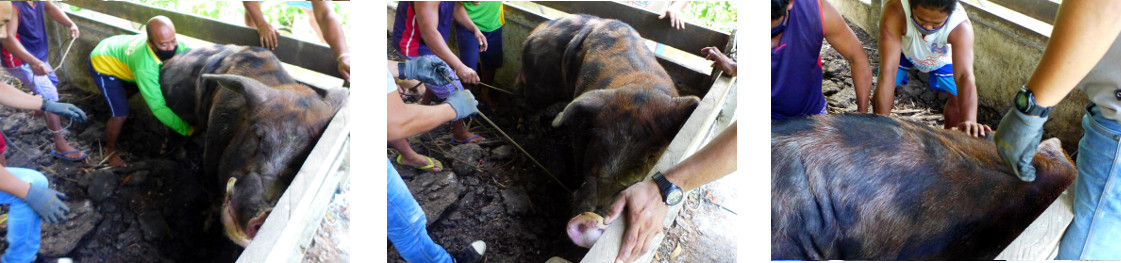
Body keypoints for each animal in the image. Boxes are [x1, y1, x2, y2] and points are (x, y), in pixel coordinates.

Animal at [159, 44, 345, 246]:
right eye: (258, 135)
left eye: (302, 161)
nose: (264, 214)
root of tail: (168, 63)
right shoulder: (211, 155)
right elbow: (211, 197)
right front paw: (205, 229)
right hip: (178, 112)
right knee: (175, 134)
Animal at [517, 14, 699, 248]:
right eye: (599, 144)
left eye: (650, 156)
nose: (591, 218)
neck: (640, 85)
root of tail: (536, 31)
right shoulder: (580, 123)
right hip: (541, 85)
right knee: (526, 103)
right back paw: (535, 131)